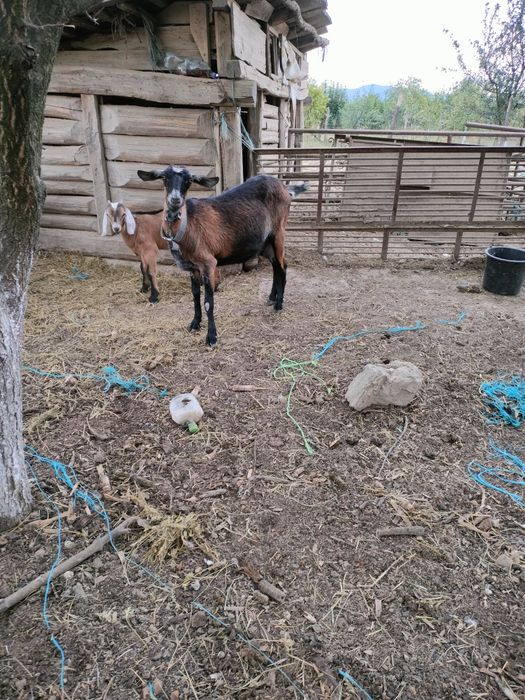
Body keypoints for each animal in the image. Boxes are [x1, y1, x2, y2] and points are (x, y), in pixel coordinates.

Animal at [137, 166, 308, 347]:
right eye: (164, 178)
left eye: (188, 181)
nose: (175, 199)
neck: (187, 226)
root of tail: (283, 187)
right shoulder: (192, 268)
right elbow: (195, 296)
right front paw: (194, 324)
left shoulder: (208, 264)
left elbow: (208, 302)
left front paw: (211, 337)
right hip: (266, 243)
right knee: (276, 265)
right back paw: (272, 298)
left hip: (279, 232)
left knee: (283, 266)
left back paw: (279, 304)